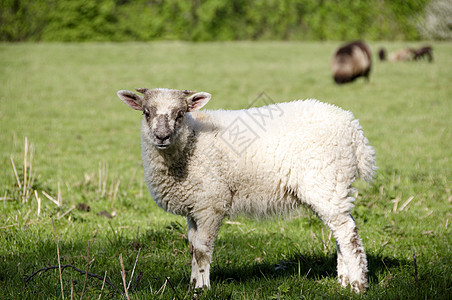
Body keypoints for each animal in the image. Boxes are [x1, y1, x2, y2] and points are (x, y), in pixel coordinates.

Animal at [117, 87, 378, 292]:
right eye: (146, 113)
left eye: (180, 114)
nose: (161, 136)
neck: (191, 143)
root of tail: (353, 128)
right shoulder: (194, 205)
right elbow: (191, 248)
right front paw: (192, 284)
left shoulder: (211, 203)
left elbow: (202, 250)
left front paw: (202, 288)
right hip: (333, 186)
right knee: (341, 231)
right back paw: (343, 281)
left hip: (326, 181)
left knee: (348, 233)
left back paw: (358, 285)